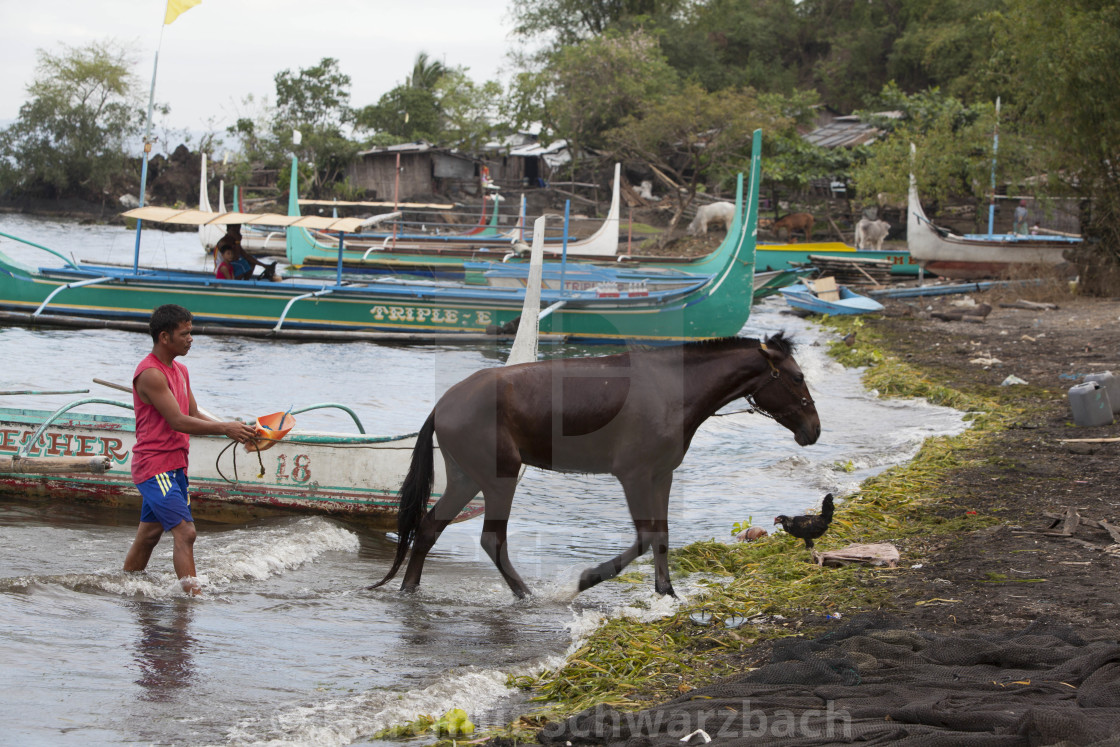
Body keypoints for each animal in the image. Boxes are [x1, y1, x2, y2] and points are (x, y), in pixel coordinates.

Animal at [371, 331, 819, 595]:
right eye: (797, 378)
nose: (813, 429)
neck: (672, 389)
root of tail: (444, 404)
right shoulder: (634, 476)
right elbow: (645, 537)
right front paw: (587, 579)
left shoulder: (661, 475)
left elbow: (662, 536)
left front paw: (666, 592)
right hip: (499, 479)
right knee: (491, 541)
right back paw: (525, 594)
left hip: (468, 479)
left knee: (428, 528)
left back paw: (410, 589)